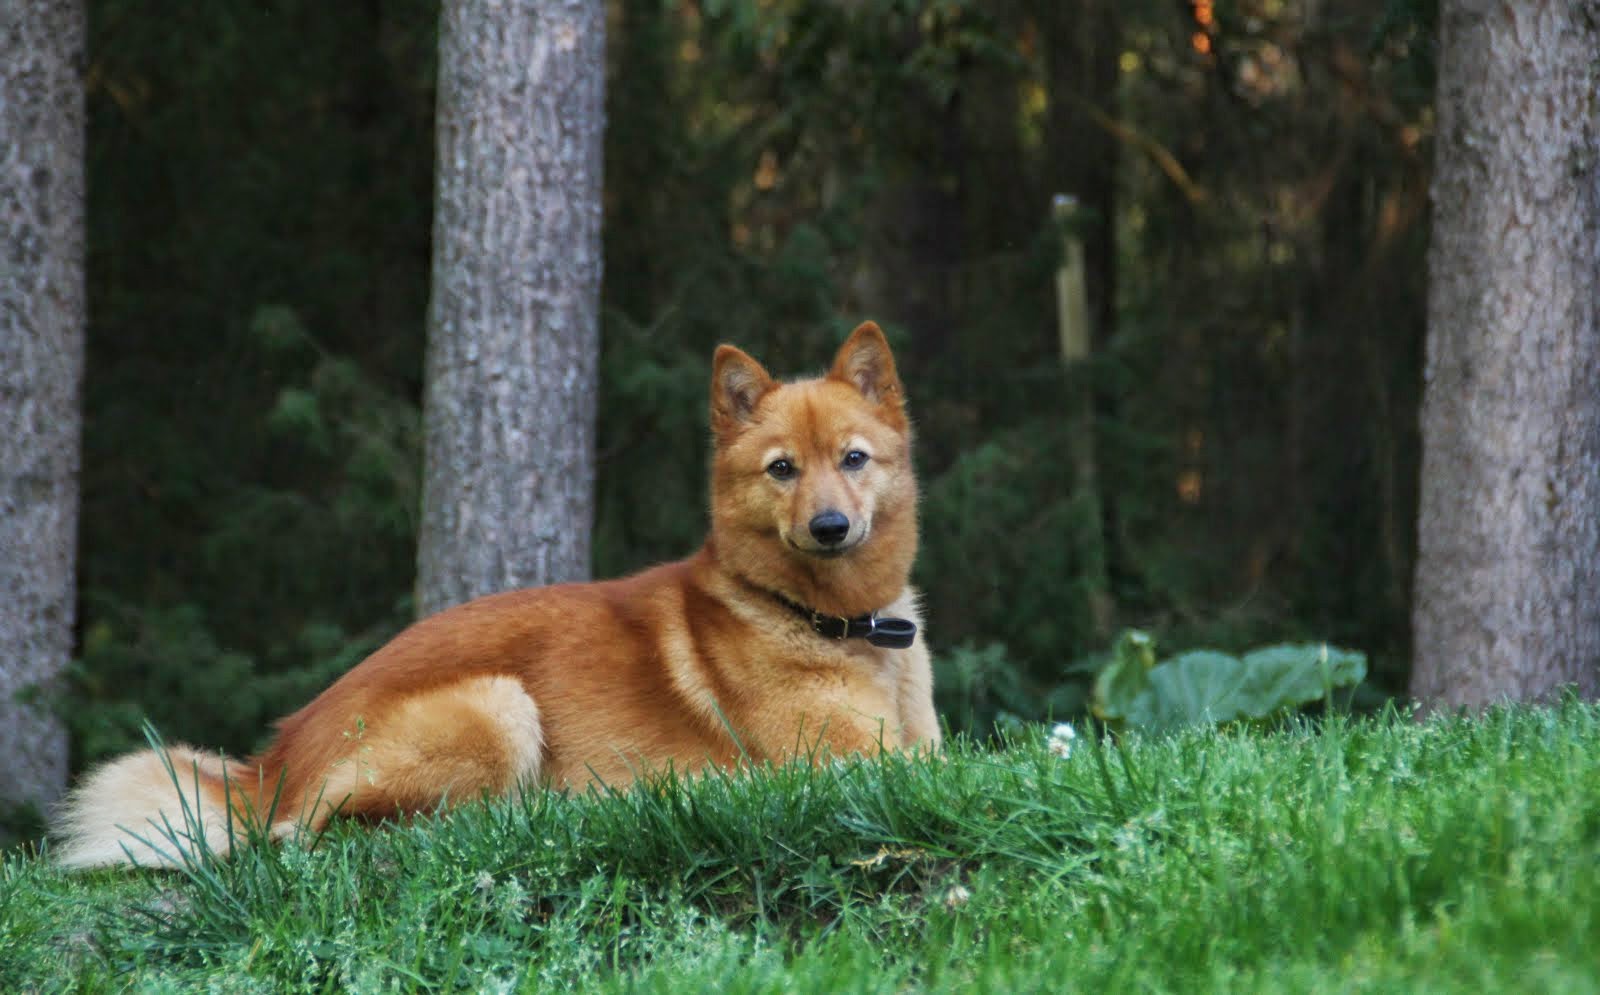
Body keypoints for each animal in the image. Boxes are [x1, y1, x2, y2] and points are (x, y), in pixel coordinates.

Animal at [56, 323, 940, 870]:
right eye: (782, 468)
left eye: (854, 458)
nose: (829, 526)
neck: (835, 622)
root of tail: (269, 764)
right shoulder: (851, 761)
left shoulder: (917, 743)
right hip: (498, 701)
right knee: (329, 832)